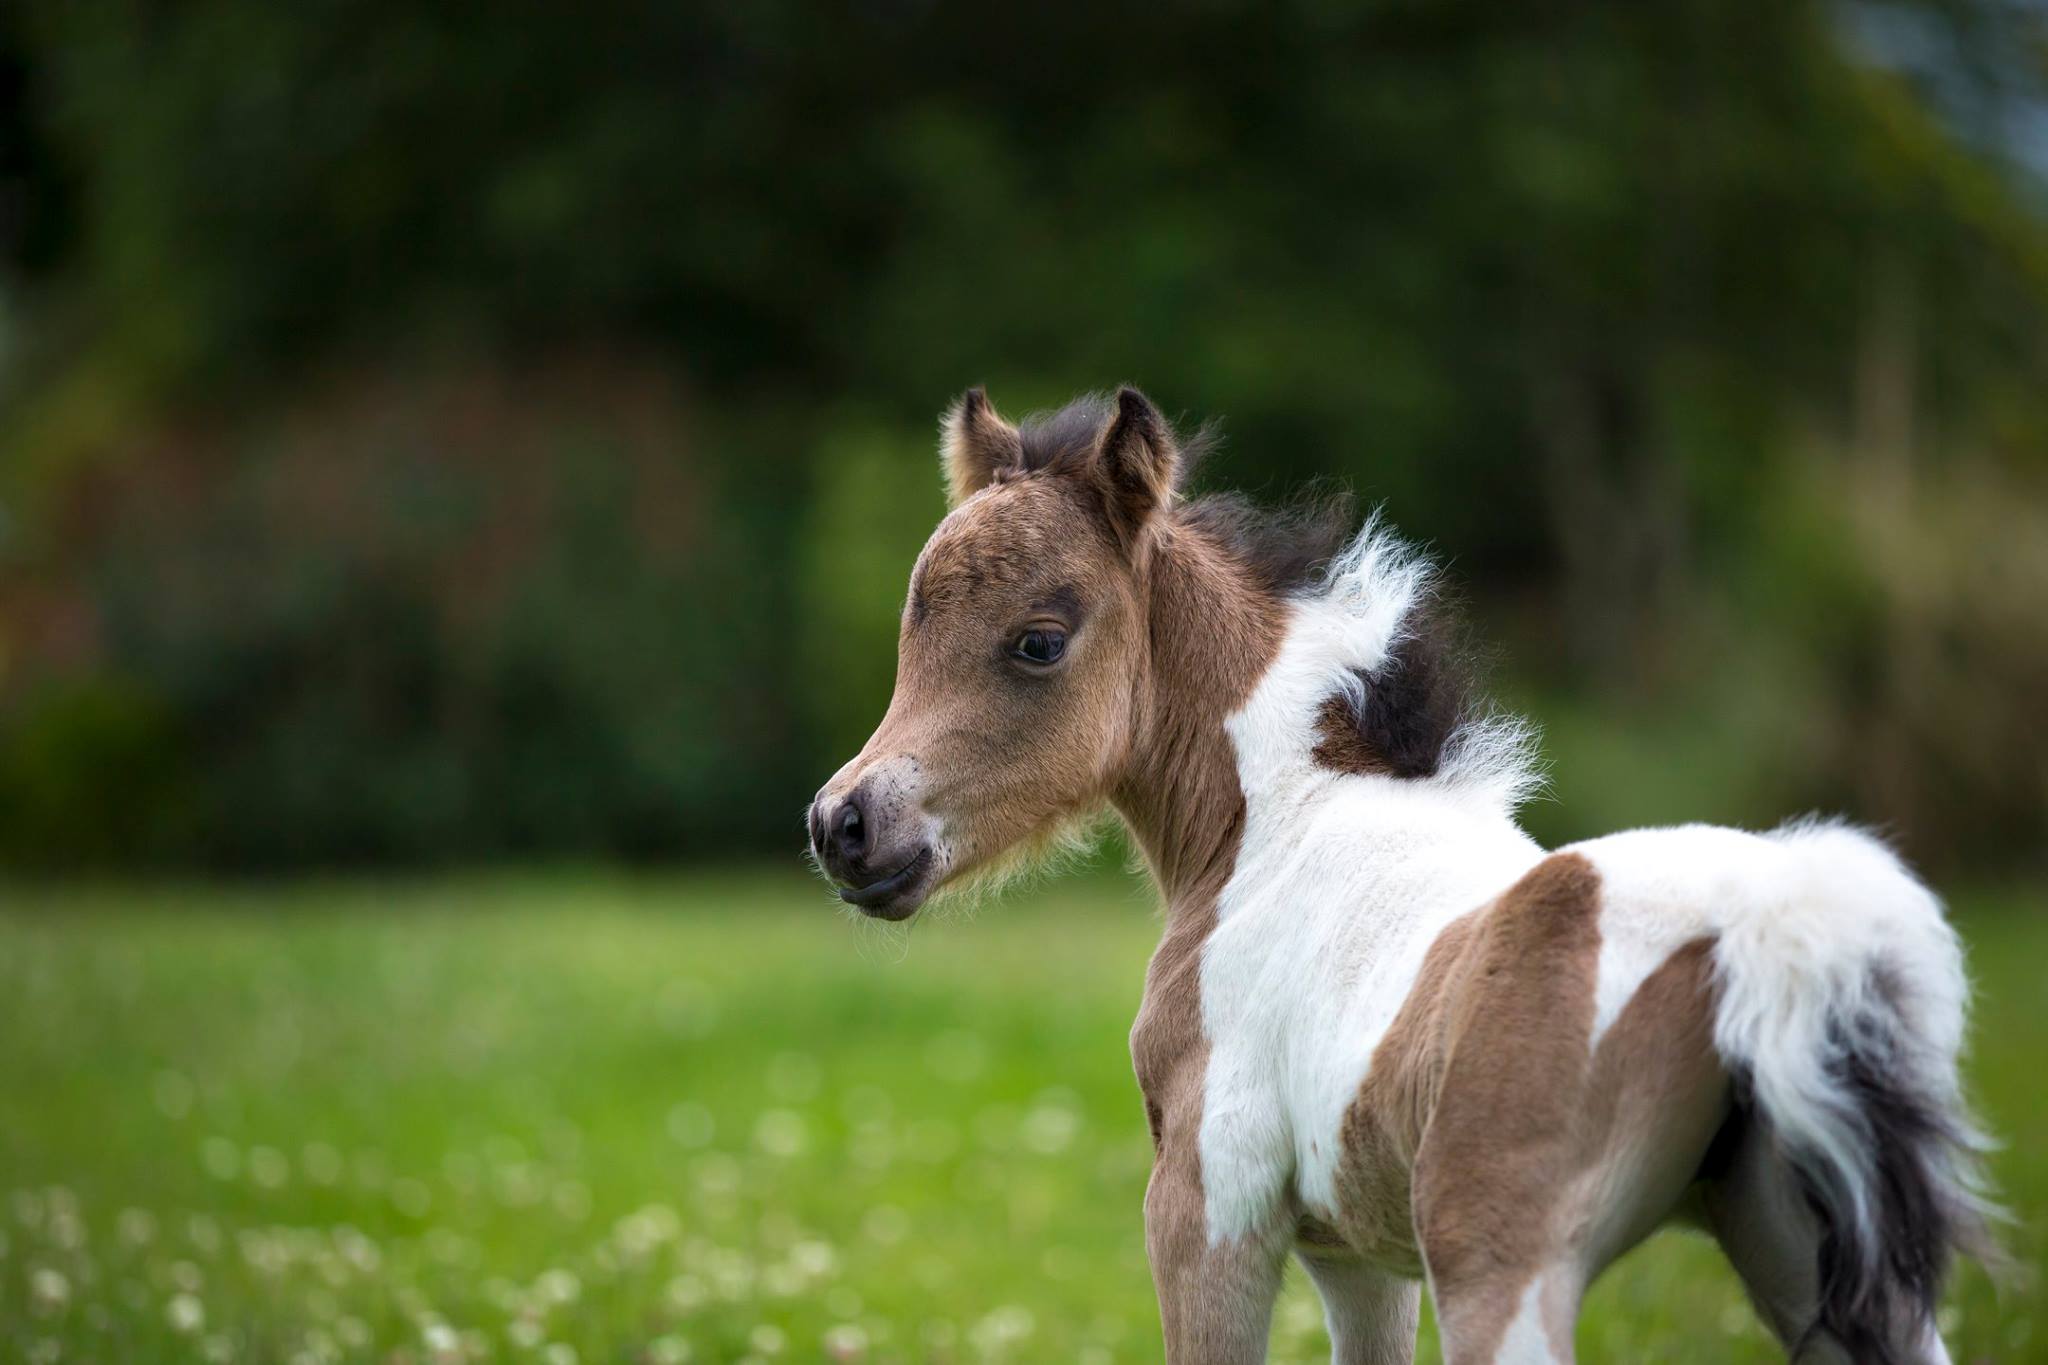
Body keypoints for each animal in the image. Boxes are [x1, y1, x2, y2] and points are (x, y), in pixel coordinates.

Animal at [806, 387, 1994, 1364]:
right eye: (914, 624)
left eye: (1039, 642)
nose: (844, 825)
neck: (1282, 830)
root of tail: (1776, 923)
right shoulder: (1356, 1257)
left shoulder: (1208, 1210)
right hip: (1814, 1266)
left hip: (1502, 1275)